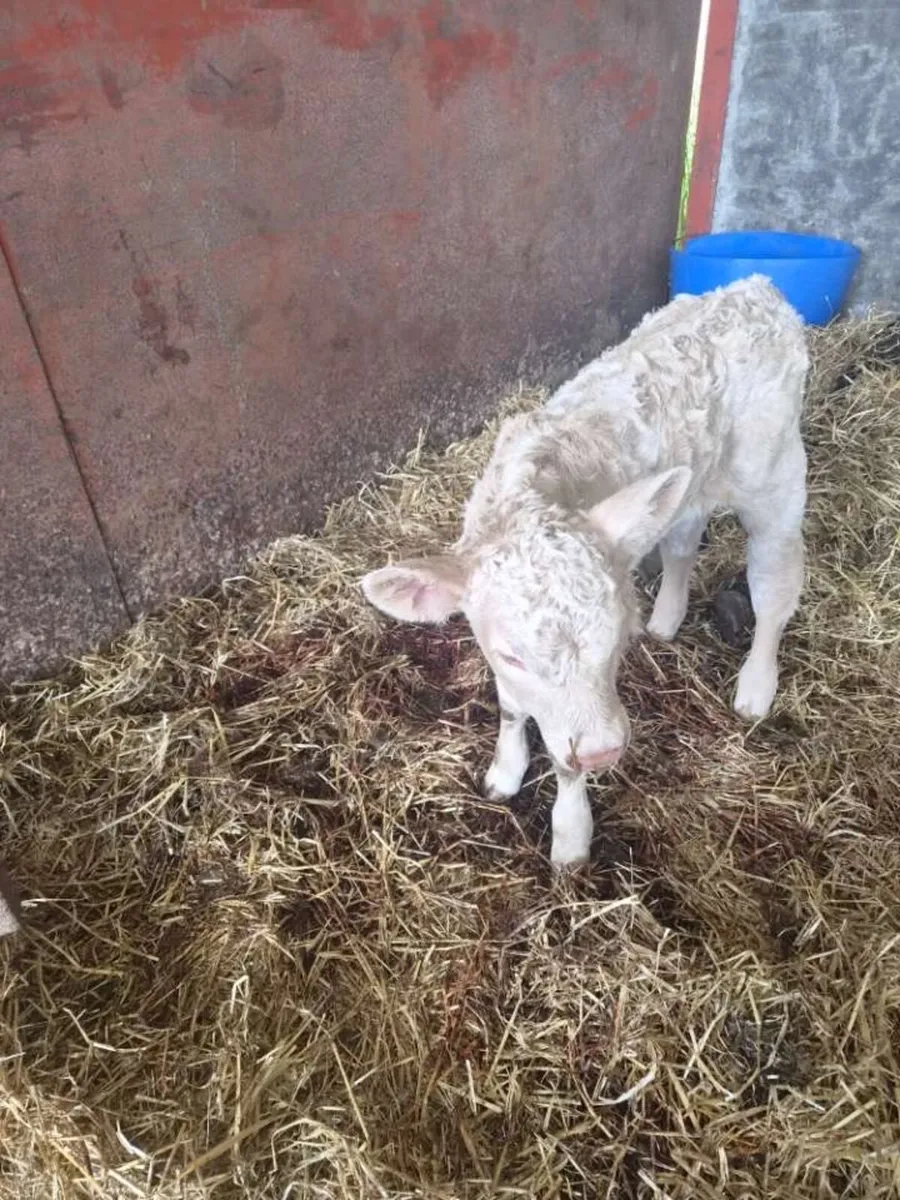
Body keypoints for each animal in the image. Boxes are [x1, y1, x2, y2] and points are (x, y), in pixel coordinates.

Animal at [362, 275, 809, 868]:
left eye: (615, 638)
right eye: (512, 655)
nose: (604, 752)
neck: (531, 497)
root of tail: (757, 289)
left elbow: (565, 763)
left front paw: (571, 839)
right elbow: (511, 708)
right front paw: (504, 772)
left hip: (775, 480)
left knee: (774, 587)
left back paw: (756, 688)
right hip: (690, 480)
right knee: (682, 539)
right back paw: (667, 619)